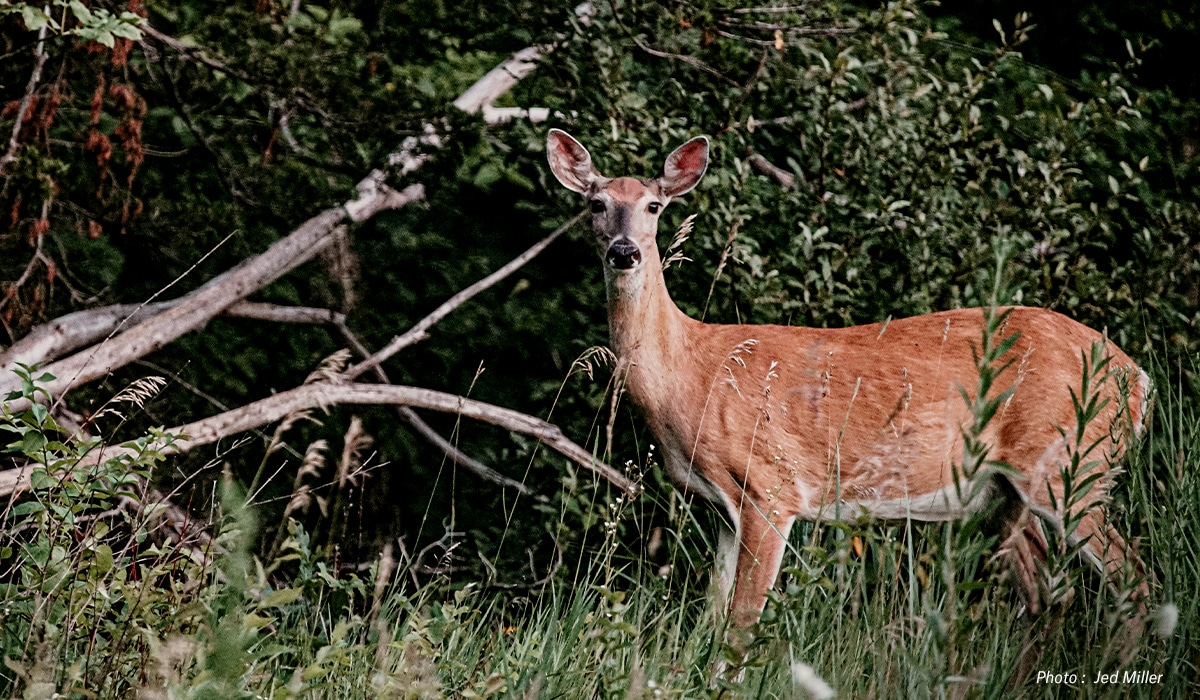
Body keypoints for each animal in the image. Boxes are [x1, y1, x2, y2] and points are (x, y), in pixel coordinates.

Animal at [547, 128, 1152, 633]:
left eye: (654, 205)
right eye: (596, 203)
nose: (625, 251)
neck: (691, 374)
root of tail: (1138, 378)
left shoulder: (773, 486)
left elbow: (740, 625)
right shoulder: (721, 507)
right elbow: (709, 618)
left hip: (1071, 465)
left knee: (1135, 583)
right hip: (1009, 495)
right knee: (1049, 597)